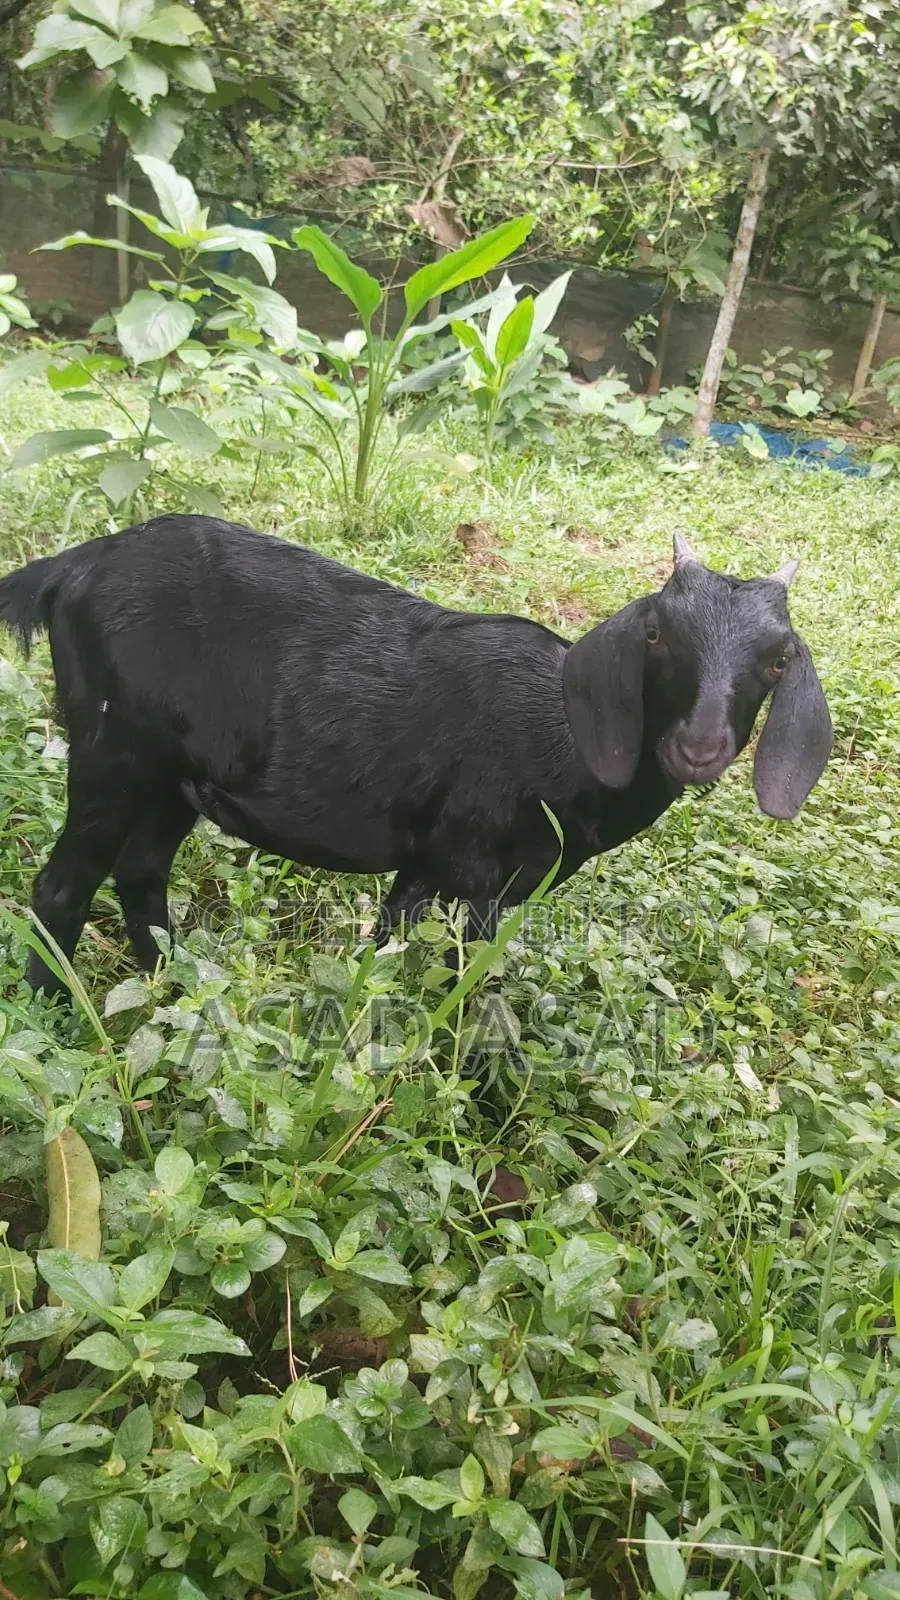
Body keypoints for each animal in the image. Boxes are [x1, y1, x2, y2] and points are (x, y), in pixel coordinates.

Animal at [0, 516, 832, 995]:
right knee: (62, 886)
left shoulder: (435, 863)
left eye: (777, 661)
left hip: (173, 780)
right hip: (112, 751)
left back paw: (176, 989)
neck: (562, 739)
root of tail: (71, 568)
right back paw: (61, 1011)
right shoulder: (474, 865)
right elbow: (452, 981)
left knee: (140, 874)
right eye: (657, 632)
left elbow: (389, 949)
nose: (698, 746)